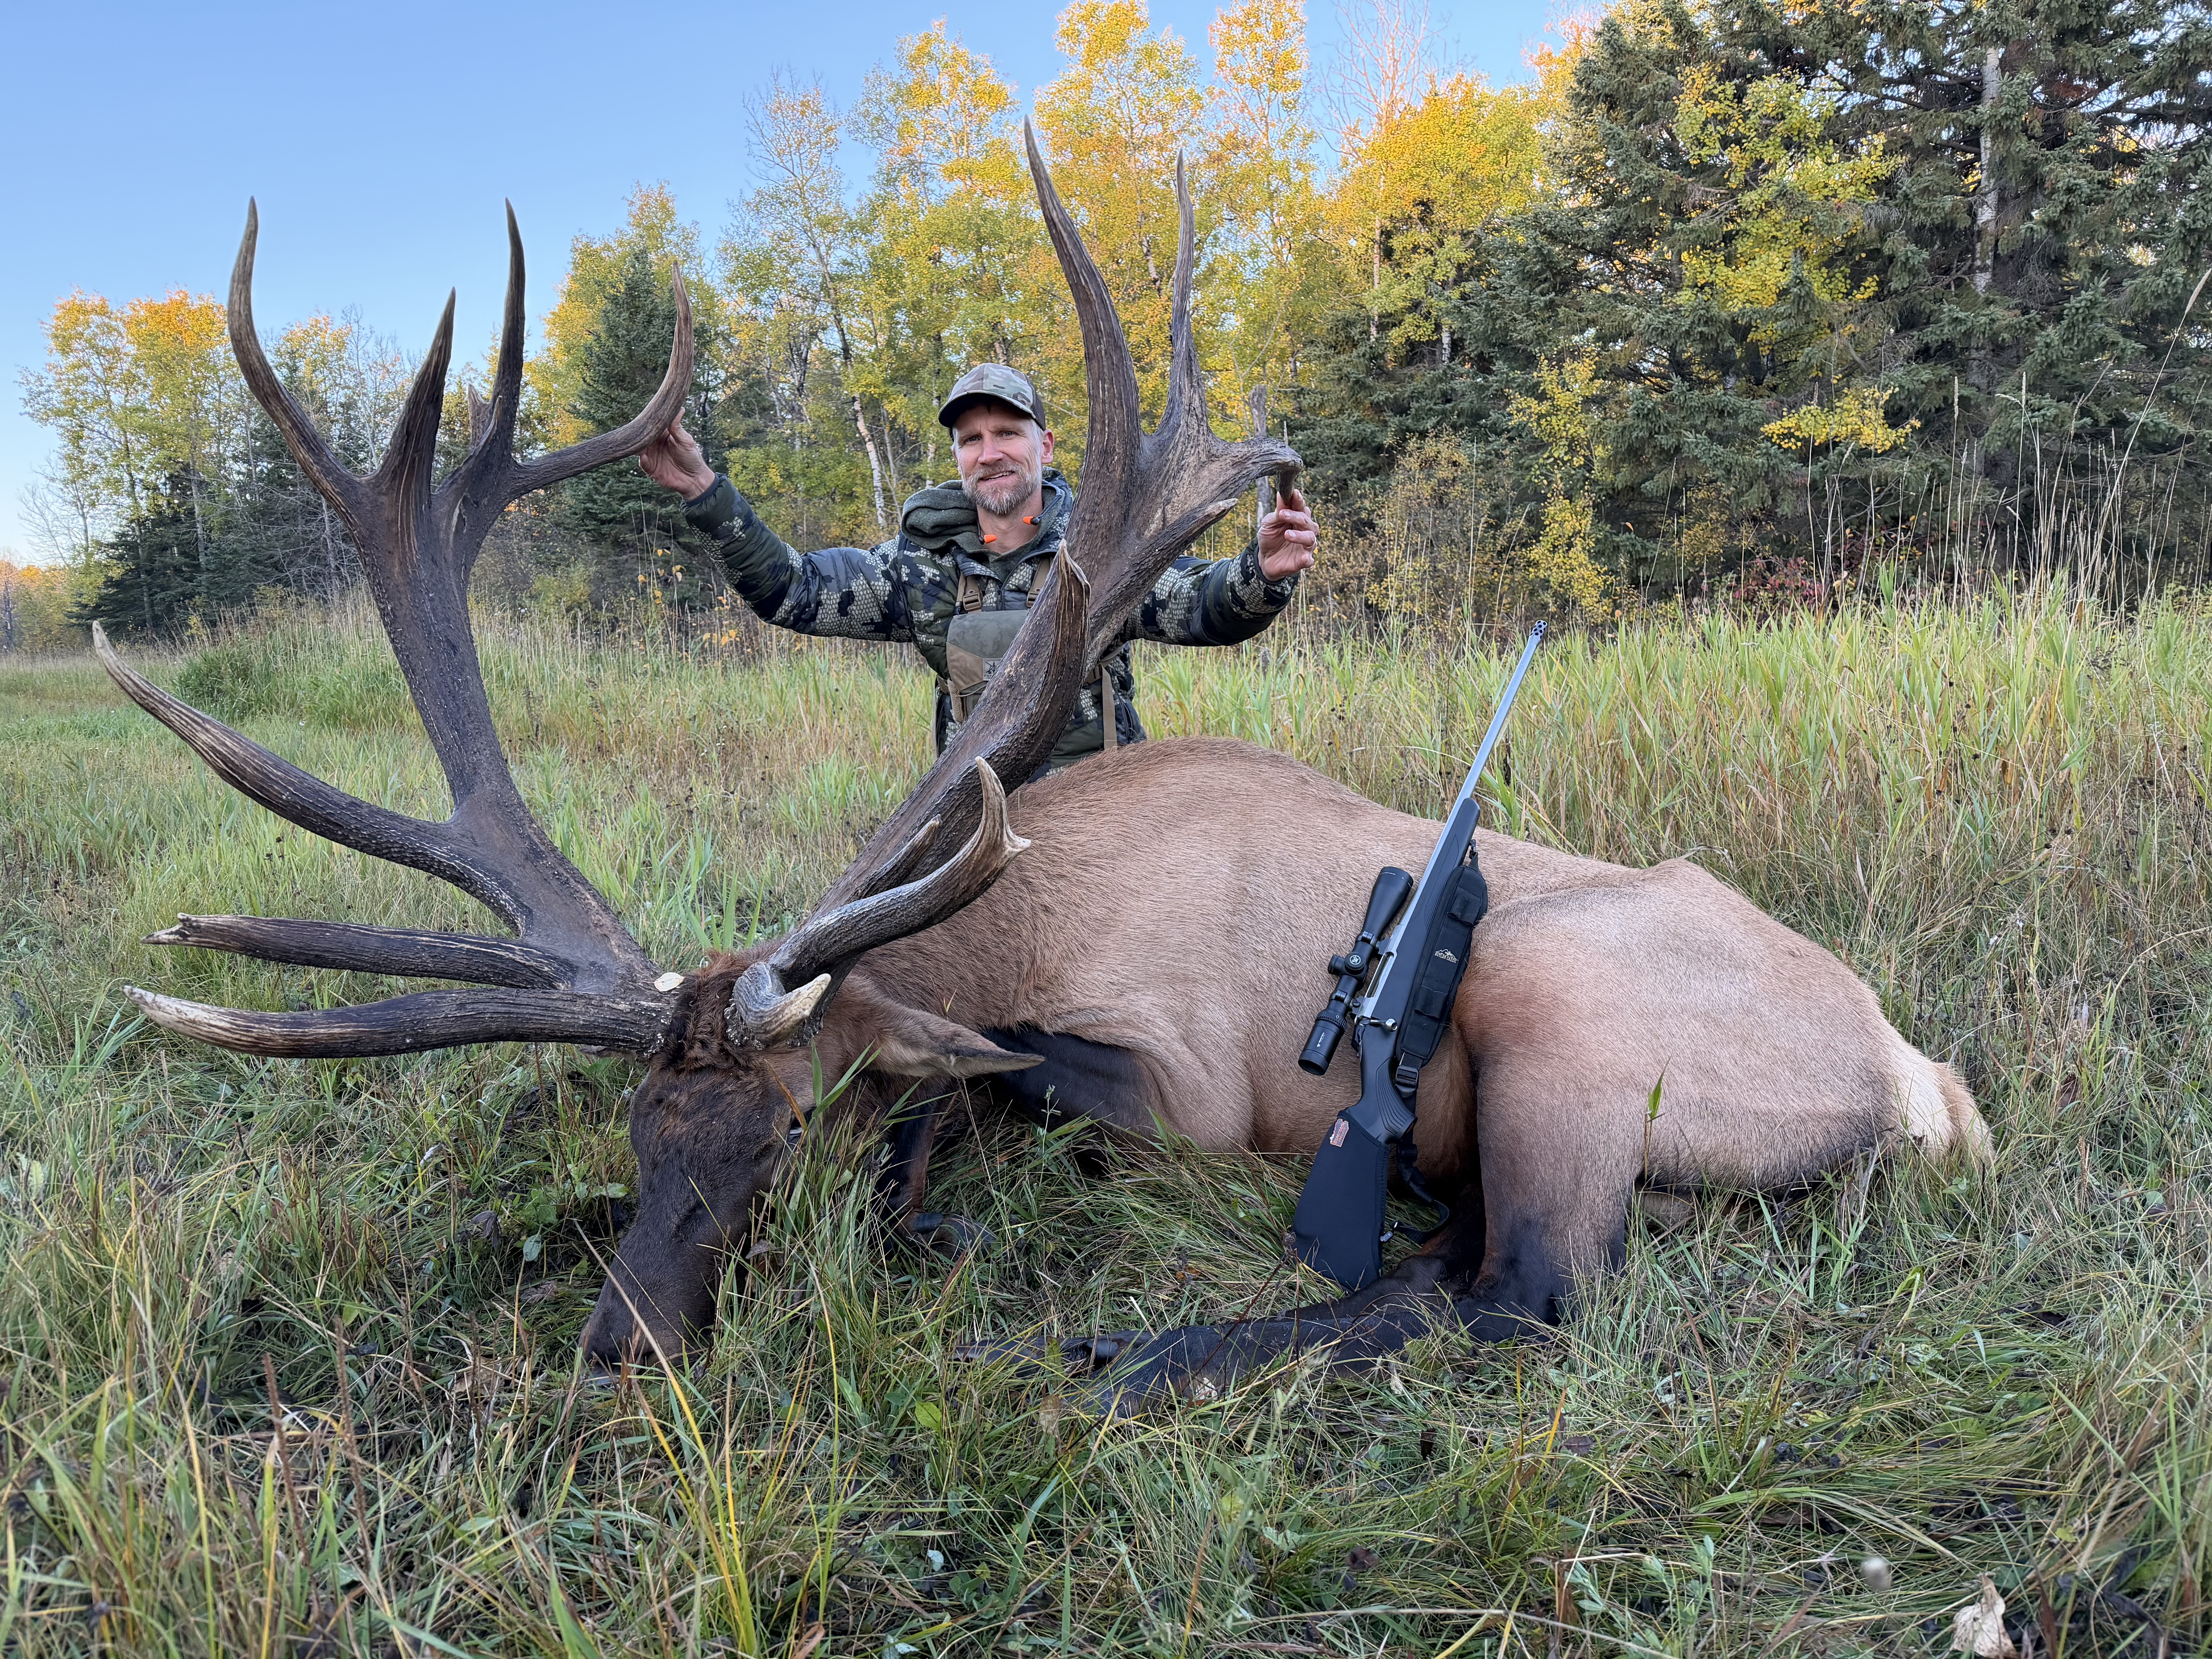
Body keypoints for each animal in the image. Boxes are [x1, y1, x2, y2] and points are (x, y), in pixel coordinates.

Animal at [95, 135, 1992, 1411]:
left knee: (1522, 1288)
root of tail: (1925, 1087)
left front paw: (925, 1209)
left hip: (1567, 1014)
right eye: (638, 1123)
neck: (1012, 919)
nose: (622, 1345)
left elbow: (987, 1091)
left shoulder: (1188, 1082)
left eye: (789, 1127)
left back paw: (1139, 1346)